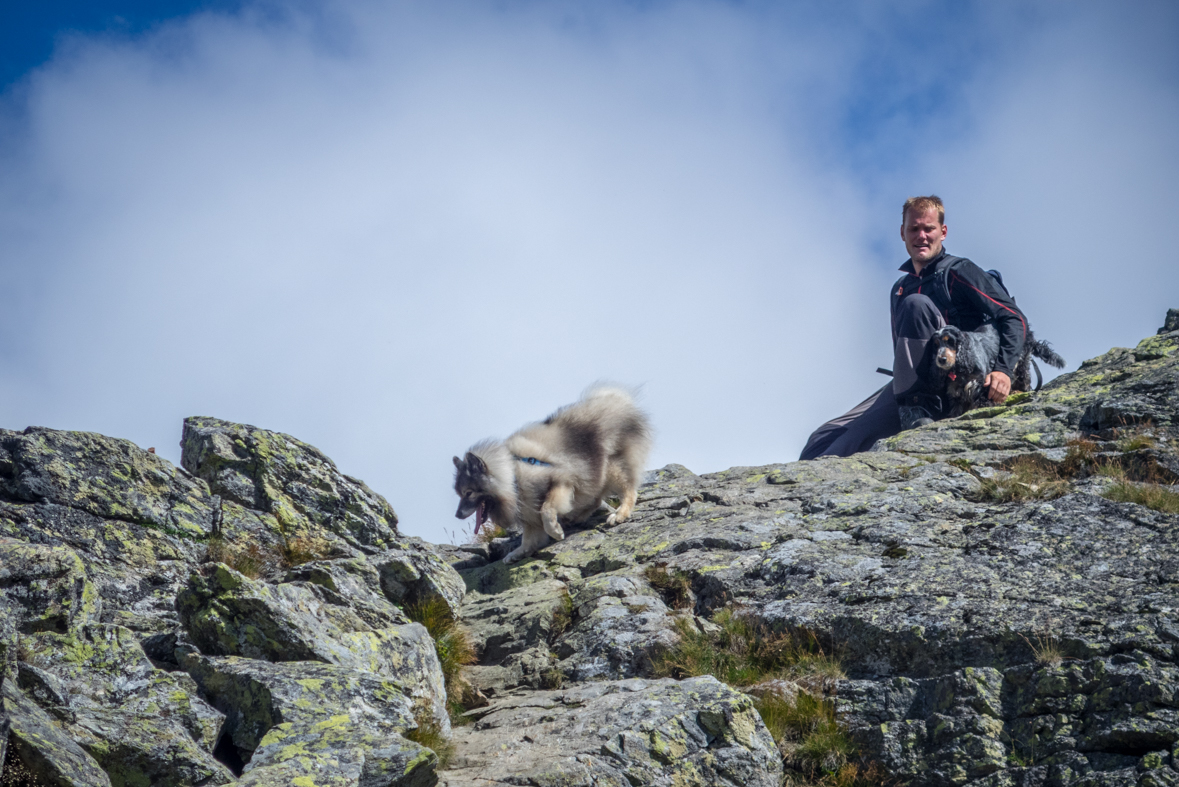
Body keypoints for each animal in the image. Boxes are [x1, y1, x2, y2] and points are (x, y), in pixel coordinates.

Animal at [452, 386, 655, 565]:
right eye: (460, 494)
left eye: (469, 493)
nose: (457, 515)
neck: (513, 476)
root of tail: (617, 399)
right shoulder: (528, 511)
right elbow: (529, 537)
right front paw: (519, 552)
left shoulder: (561, 483)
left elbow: (547, 511)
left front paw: (556, 531)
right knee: (595, 499)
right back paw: (577, 517)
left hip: (610, 467)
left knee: (628, 491)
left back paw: (619, 514)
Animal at [919, 322, 1070, 417]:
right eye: (936, 345)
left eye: (950, 341)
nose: (941, 360)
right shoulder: (955, 389)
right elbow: (956, 406)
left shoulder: (980, 382)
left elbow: (982, 398)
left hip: (1021, 358)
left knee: (1023, 376)